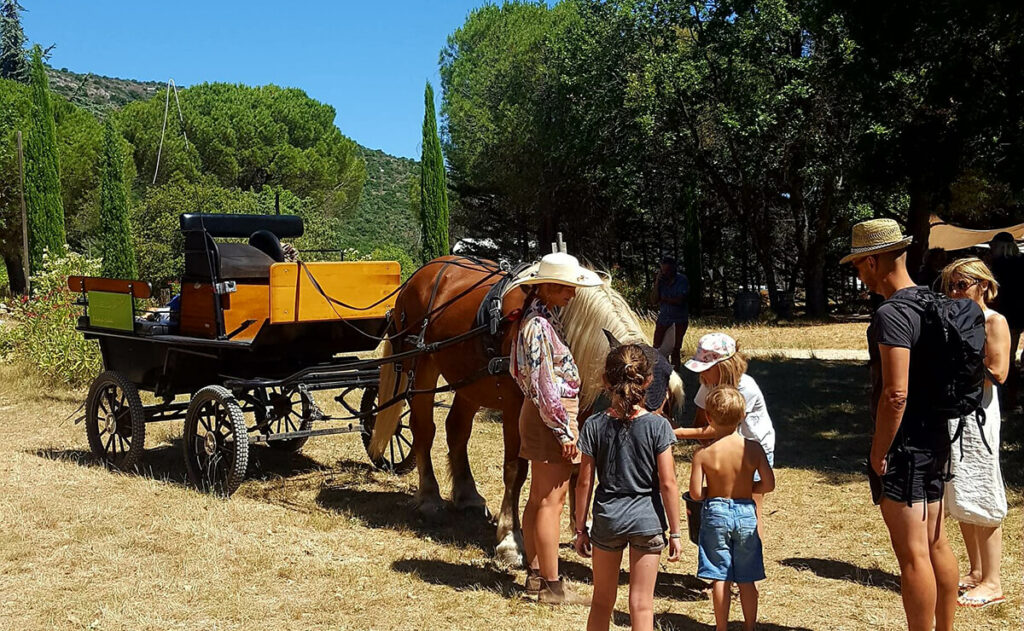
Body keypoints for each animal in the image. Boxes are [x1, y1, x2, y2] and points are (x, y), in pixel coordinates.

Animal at [368, 254, 679, 565]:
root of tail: (424, 273)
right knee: (423, 428)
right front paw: (510, 540)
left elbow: (579, 468)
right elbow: (515, 469)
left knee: (456, 429)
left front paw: (582, 528)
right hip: (420, 367)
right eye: (630, 398)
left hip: (469, 380)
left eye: (665, 405)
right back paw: (430, 498)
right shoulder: (516, 407)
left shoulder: (578, 410)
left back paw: (468, 495)